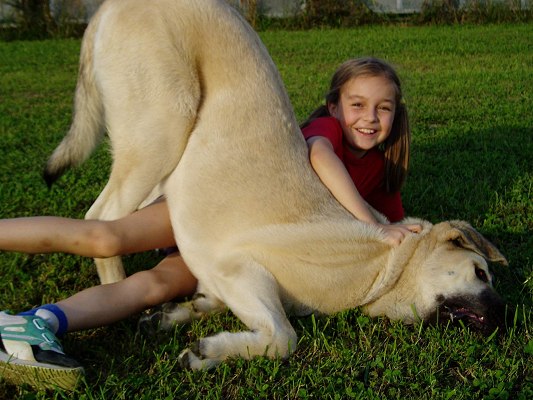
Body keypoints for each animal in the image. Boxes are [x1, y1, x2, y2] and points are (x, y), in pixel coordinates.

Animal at [42, 0, 508, 370]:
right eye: (480, 272)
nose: (506, 315)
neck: (388, 266)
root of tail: (112, 4)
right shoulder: (240, 267)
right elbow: (284, 337)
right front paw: (208, 351)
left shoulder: (220, 276)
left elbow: (211, 303)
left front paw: (177, 313)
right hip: (162, 128)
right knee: (103, 219)